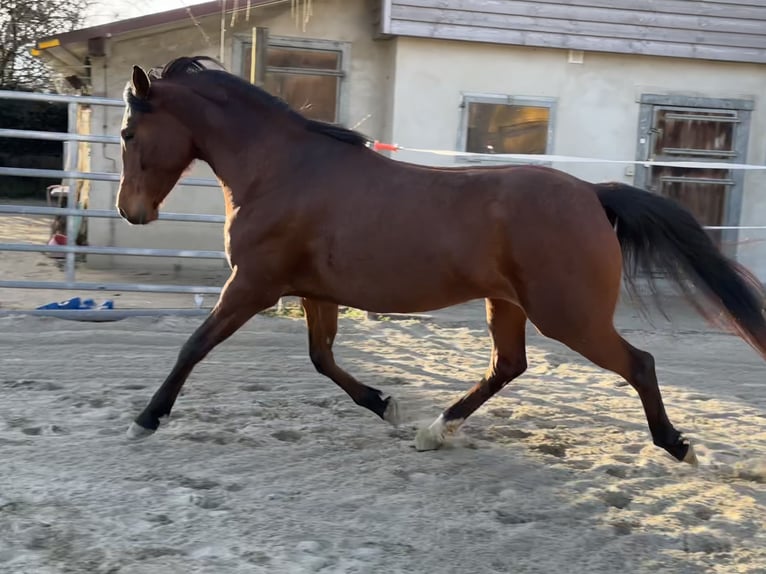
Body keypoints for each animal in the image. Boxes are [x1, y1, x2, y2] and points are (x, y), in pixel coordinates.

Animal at [116, 55, 766, 465]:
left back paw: (680, 446)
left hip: (570, 317)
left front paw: (145, 418)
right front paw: (386, 405)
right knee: (508, 366)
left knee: (639, 364)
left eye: (126, 133)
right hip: (508, 304)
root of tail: (591, 193)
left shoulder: (252, 284)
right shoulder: (314, 292)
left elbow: (195, 345)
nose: (131, 212)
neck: (282, 170)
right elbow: (322, 360)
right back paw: (435, 431)